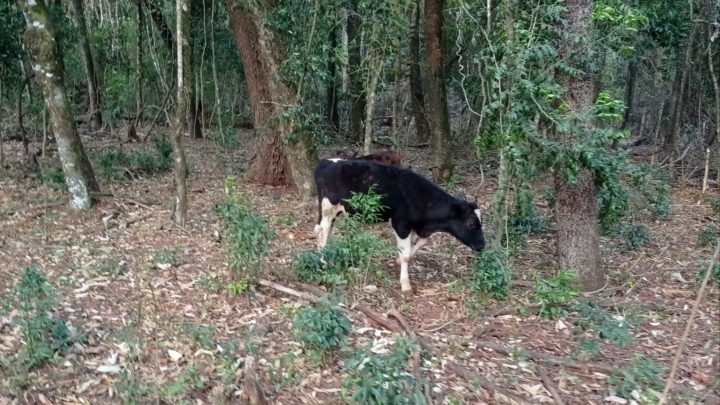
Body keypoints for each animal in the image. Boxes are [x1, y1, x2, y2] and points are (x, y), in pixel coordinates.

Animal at [314, 157, 486, 290]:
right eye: (472, 223)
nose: (482, 245)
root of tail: (325, 162)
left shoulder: (419, 227)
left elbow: (421, 243)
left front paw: (398, 260)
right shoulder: (401, 224)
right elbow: (406, 255)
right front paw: (405, 284)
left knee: (320, 230)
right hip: (329, 206)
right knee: (322, 231)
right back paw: (323, 263)